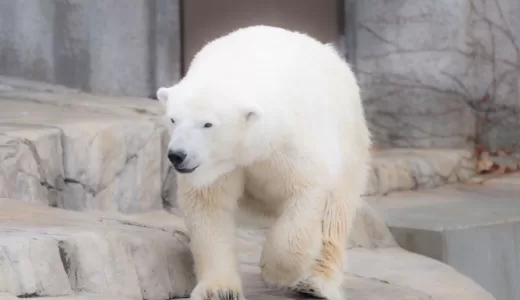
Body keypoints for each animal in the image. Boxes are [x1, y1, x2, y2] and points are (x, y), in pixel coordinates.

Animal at [156, 25, 372, 300]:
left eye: (207, 124)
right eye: (173, 119)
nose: (177, 155)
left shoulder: (292, 142)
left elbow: (305, 194)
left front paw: (276, 271)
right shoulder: (217, 167)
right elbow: (209, 208)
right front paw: (219, 290)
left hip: (349, 138)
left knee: (336, 213)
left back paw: (315, 284)